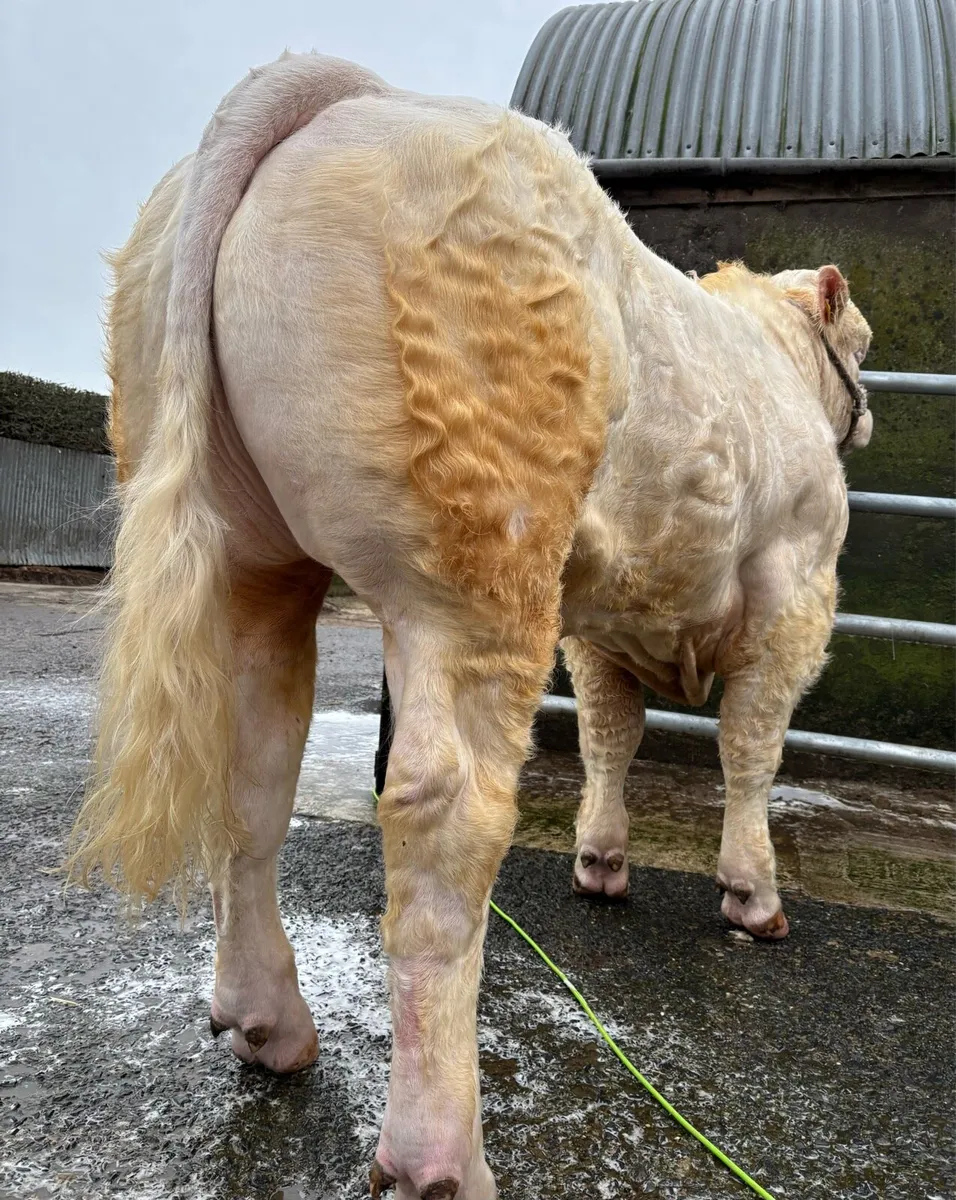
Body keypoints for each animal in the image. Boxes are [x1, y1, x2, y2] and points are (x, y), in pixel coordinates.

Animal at [67, 52, 872, 1200]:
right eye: (860, 343)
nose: (868, 412)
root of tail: (342, 92)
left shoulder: (602, 621)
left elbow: (610, 736)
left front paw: (603, 861)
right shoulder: (797, 584)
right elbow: (750, 748)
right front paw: (752, 895)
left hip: (253, 559)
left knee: (253, 776)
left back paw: (269, 1023)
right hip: (478, 565)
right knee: (447, 819)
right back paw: (438, 1154)